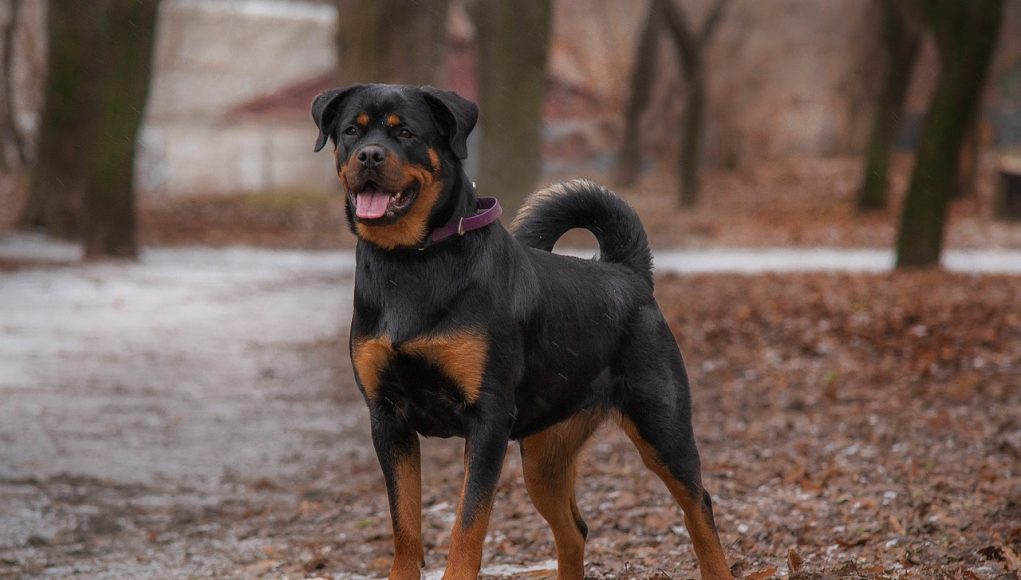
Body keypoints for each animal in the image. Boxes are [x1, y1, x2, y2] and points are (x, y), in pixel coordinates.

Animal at [310, 83, 735, 575]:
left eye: (407, 133)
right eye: (350, 131)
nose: (370, 155)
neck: (412, 262)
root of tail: (629, 274)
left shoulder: (488, 418)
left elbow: (467, 526)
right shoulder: (387, 419)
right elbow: (405, 528)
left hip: (662, 427)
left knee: (699, 506)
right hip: (544, 457)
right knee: (574, 529)